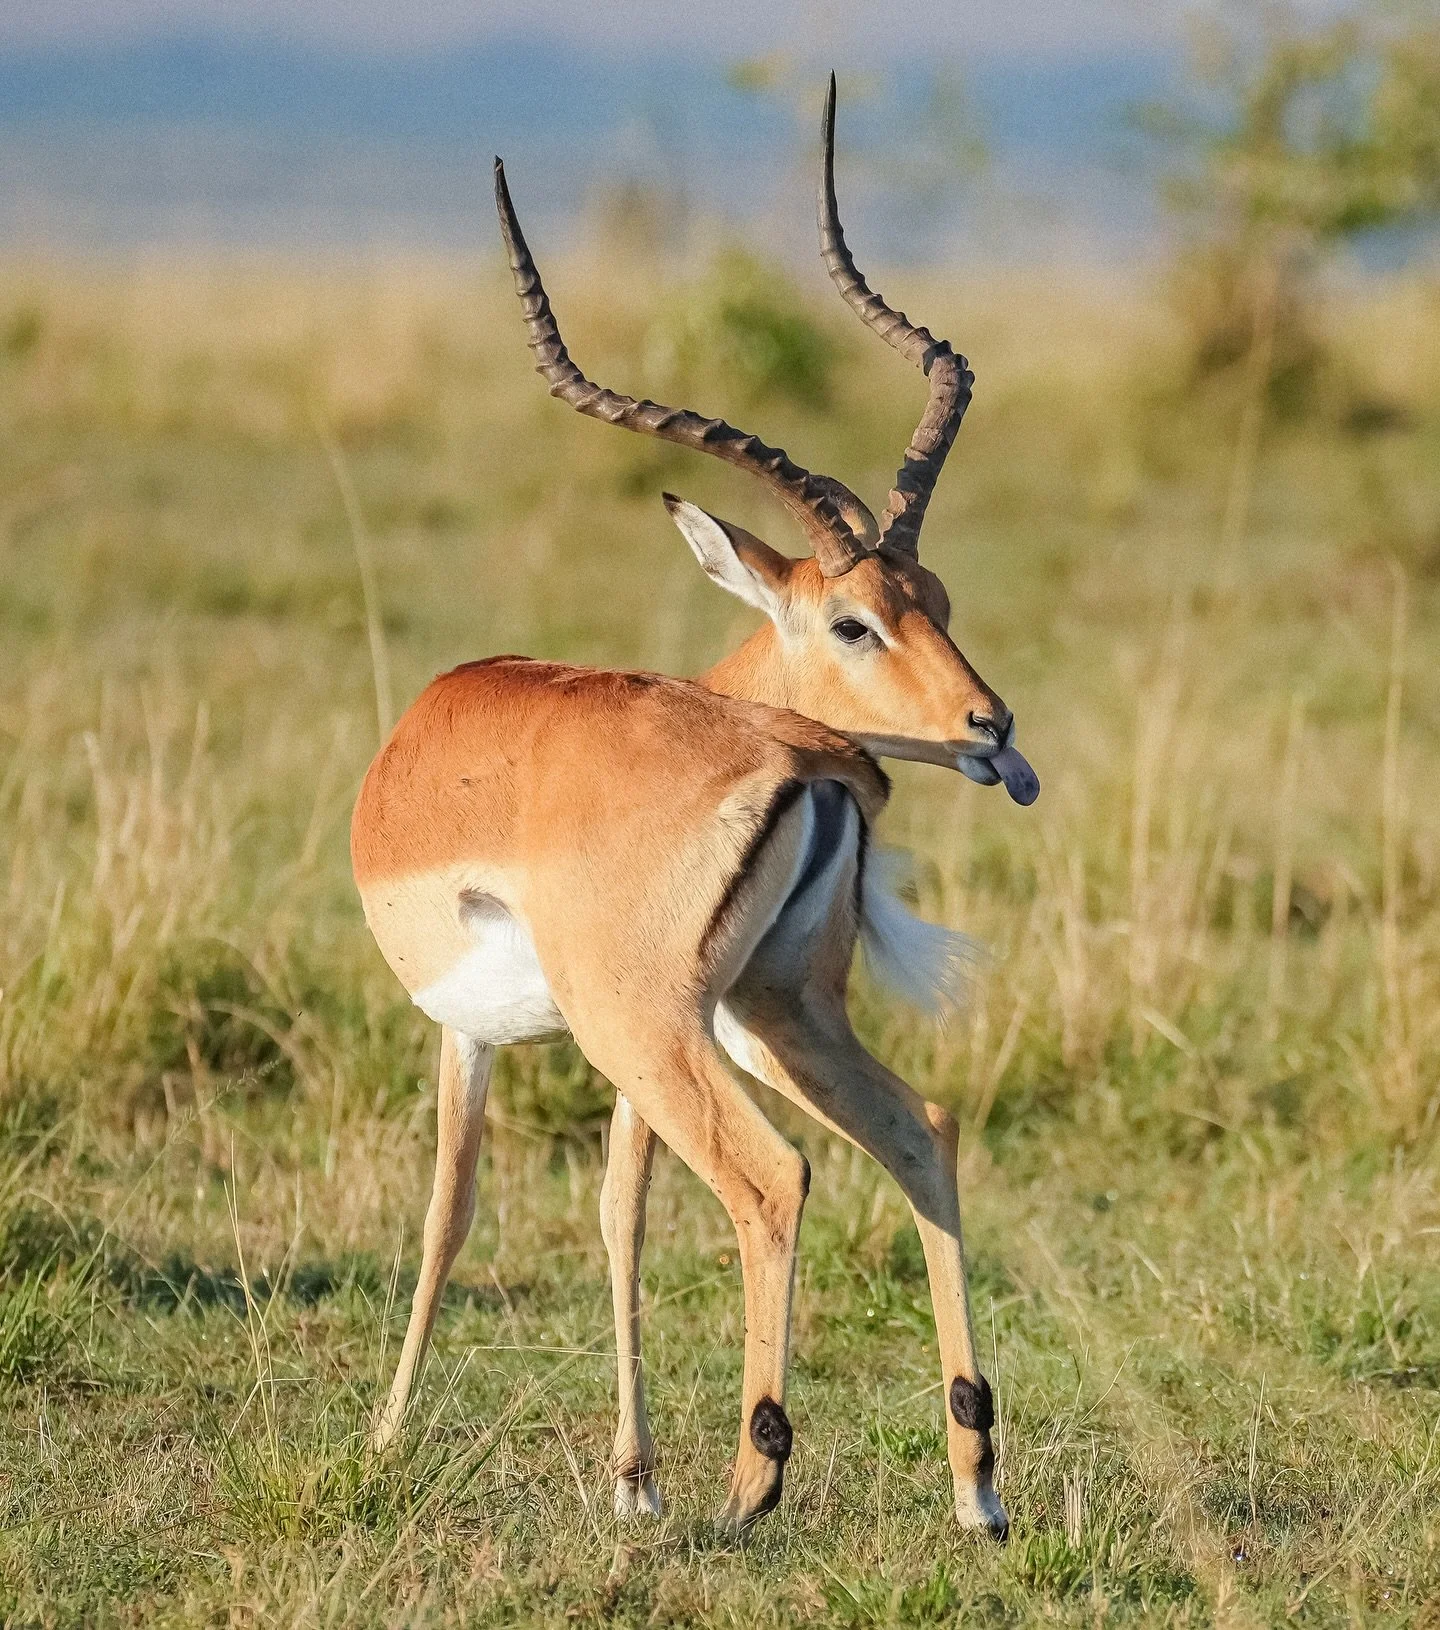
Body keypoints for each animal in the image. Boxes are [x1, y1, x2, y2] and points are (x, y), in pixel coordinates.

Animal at [353, 78, 1038, 1539]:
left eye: (934, 601)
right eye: (869, 613)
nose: (991, 728)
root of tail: (802, 760)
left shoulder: (481, 1028)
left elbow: (451, 1208)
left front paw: (384, 1441)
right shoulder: (613, 1045)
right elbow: (619, 1211)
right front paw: (630, 1475)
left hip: (666, 1027)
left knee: (774, 1178)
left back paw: (754, 1478)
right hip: (769, 1014)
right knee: (924, 1129)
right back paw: (975, 1482)